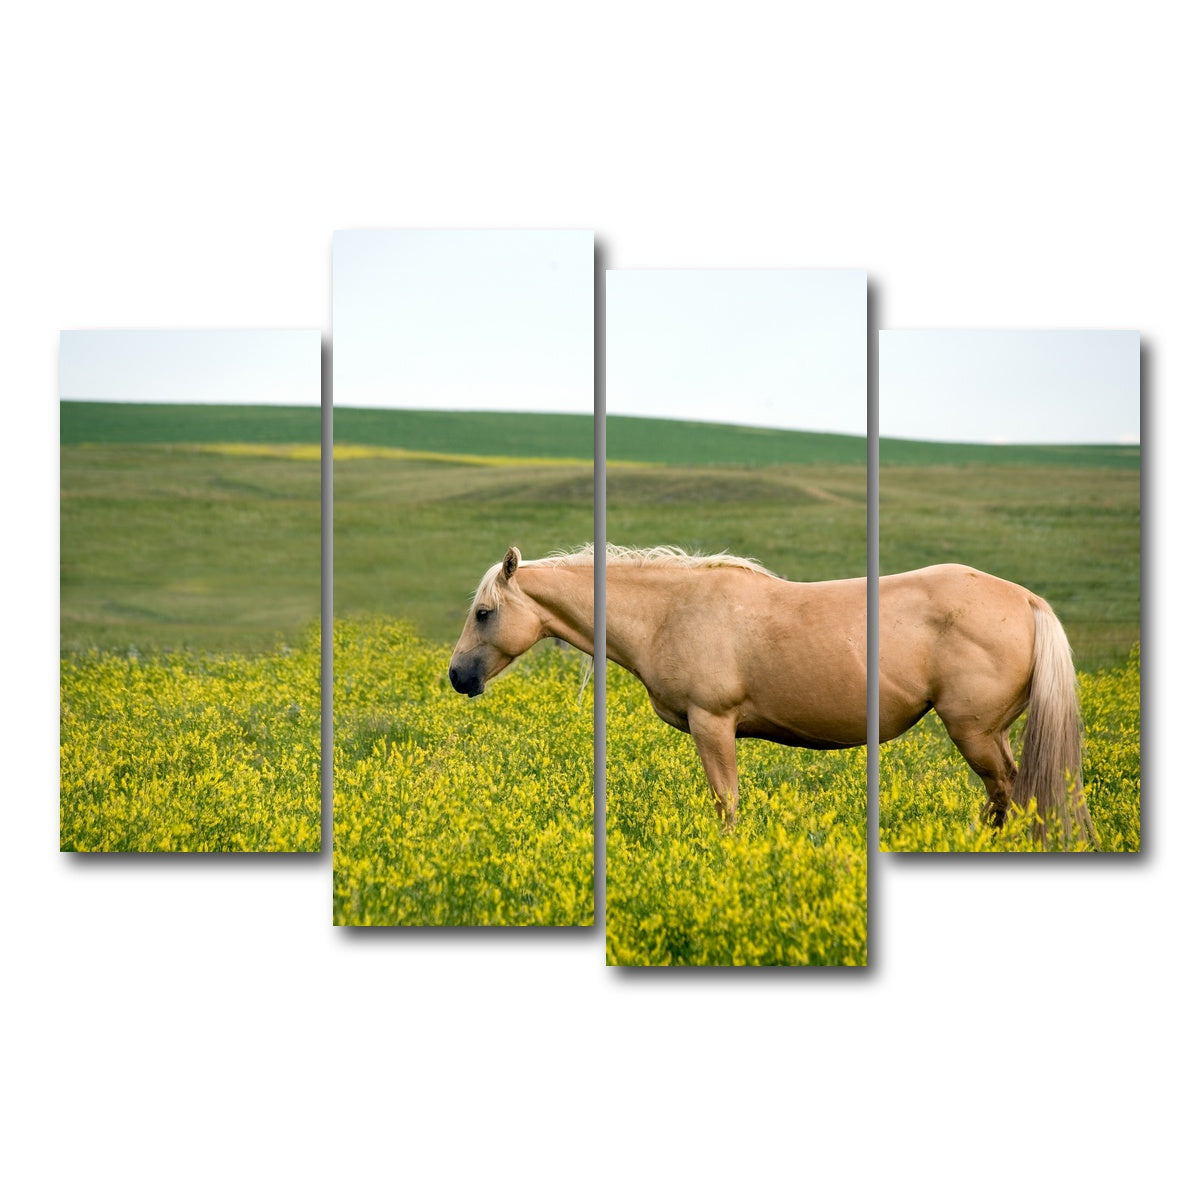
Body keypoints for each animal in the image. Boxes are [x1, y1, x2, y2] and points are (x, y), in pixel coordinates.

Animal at [448, 545, 1095, 844]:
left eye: (483, 613)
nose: (457, 677)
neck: (669, 611)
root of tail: (1026, 600)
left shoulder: (713, 725)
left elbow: (726, 803)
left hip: (975, 733)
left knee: (1009, 793)